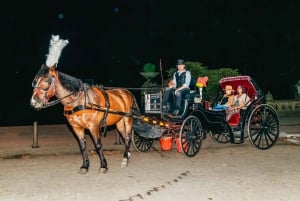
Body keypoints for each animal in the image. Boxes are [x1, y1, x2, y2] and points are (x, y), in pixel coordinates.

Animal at [29, 35, 140, 174]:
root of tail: (126, 92)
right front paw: (85, 166)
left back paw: (125, 158)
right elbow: (82, 146)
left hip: (127, 119)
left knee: (129, 137)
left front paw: (103, 166)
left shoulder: (93, 126)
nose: (34, 102)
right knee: (125, 138)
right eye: (35, 80)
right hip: (119, 122)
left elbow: (98, 145)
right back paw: (127, 156)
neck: (79, 100)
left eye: (47, 80)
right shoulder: (77, 128)